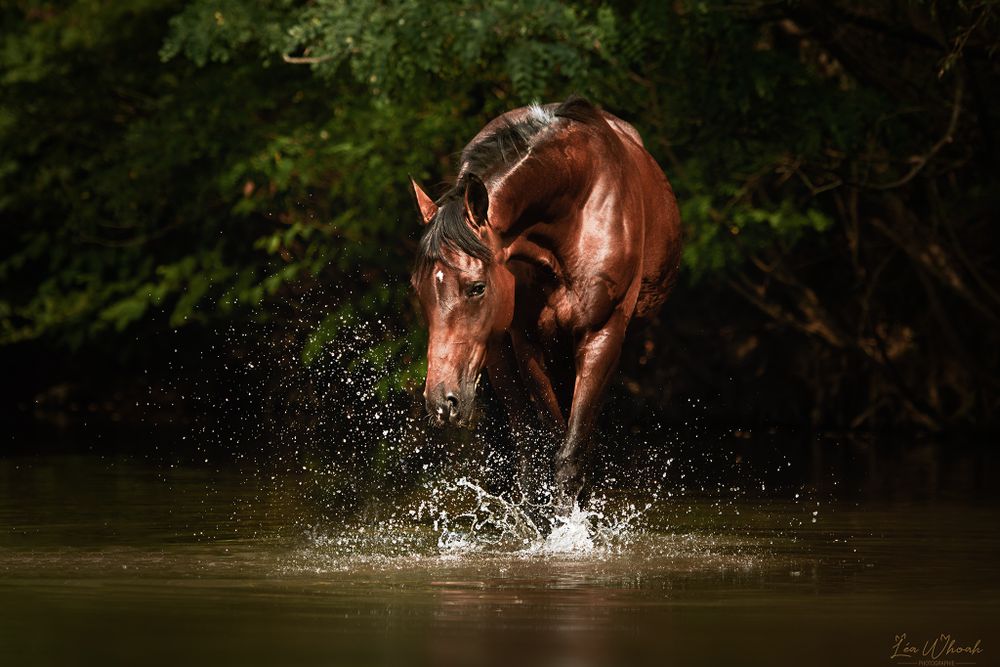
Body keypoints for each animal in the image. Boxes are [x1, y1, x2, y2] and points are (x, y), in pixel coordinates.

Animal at [409, 97, 681, 516]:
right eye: (417, 289)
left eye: (476, 287)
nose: (441, 402)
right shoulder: (527, 341)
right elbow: (542, 452)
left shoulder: (602, 335)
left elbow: (569, 459)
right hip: (498, 354)